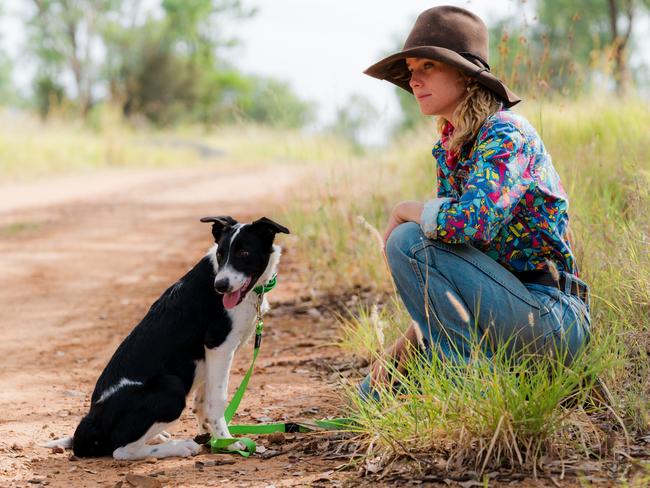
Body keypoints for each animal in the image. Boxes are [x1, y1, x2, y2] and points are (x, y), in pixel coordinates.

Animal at [45, 215, 288, 460]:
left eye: (244, 253)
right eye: (221, 254)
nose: (220, 286)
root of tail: (91, 423)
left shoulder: (211, 357)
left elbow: (203, 401)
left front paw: (213, 437)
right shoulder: (218, 346)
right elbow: (217, 400)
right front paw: (227, 442)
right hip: (171, 387)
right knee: (121, 450)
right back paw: (179, 447)